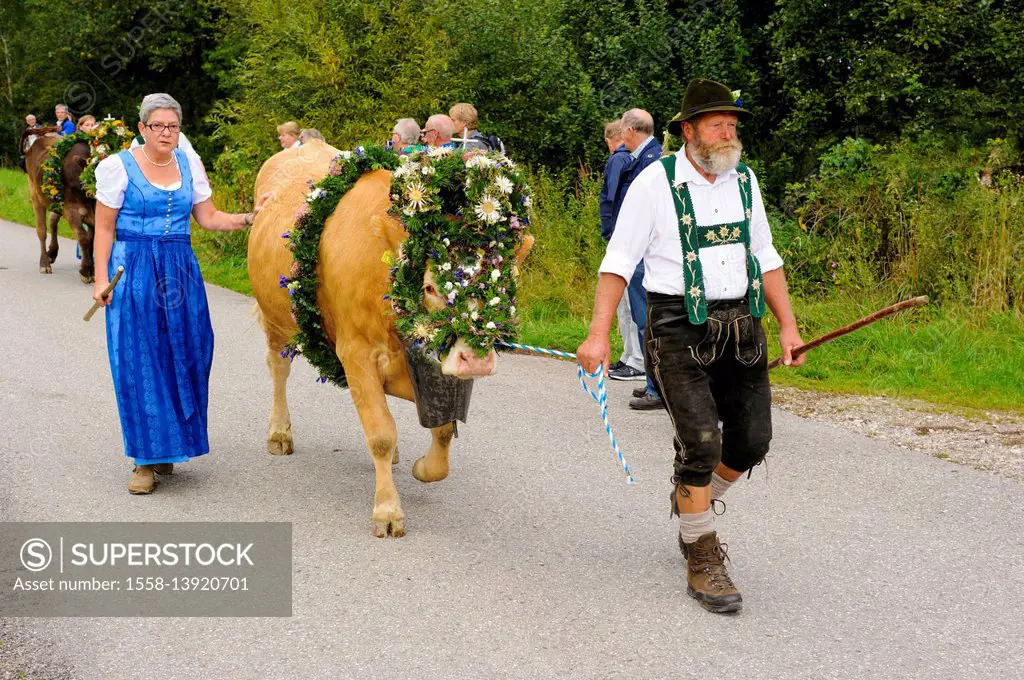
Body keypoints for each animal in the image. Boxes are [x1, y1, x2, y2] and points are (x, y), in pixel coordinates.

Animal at [248, 139, 536, 536]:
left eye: (504, 284)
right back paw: (279, 433)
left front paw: (423, 468)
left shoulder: (433, 369)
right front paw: (387, 510)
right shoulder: (357, 351)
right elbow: (382, 433)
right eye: (430, 287)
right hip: (276, 321)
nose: (475, 360)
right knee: (278, 369)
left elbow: (442, 431)